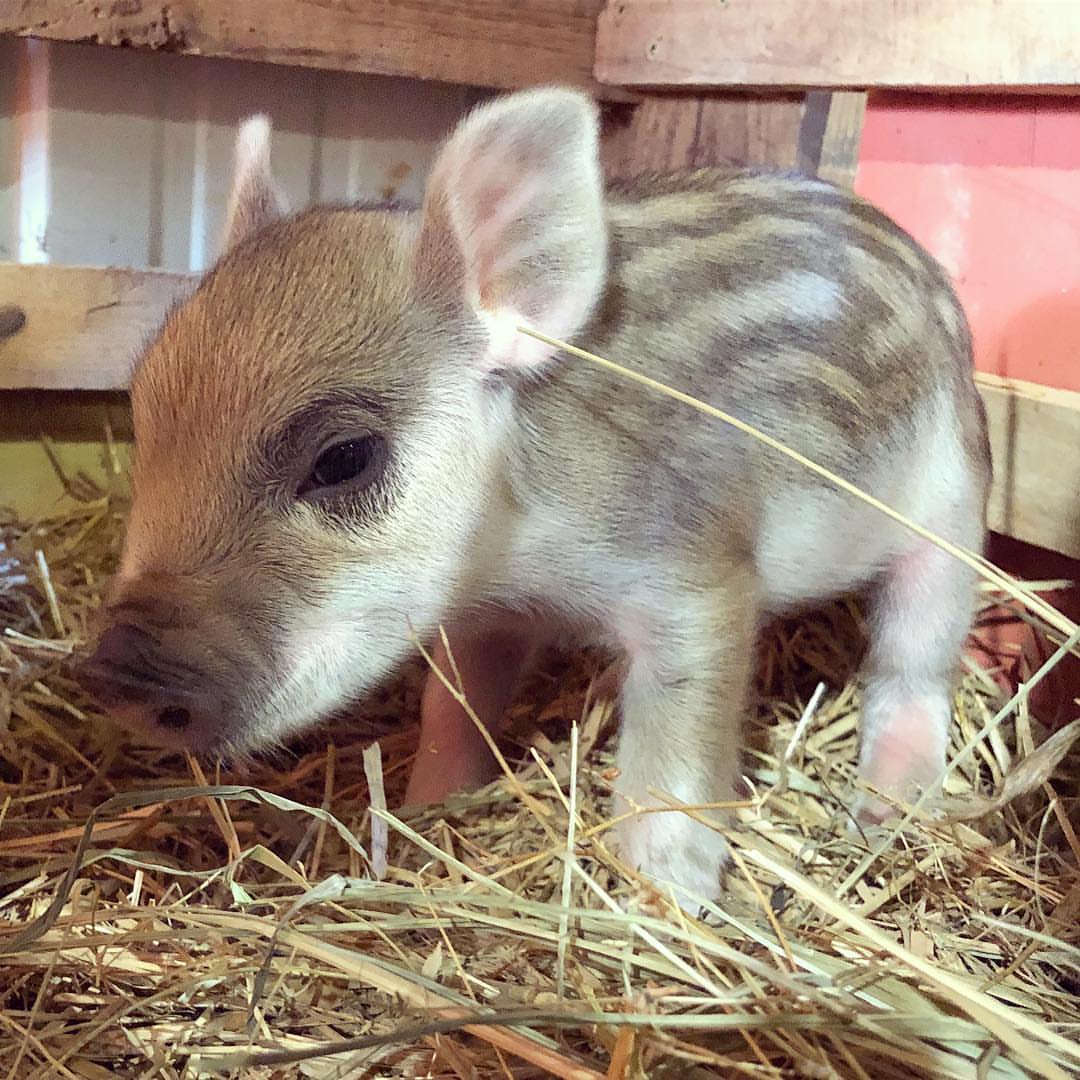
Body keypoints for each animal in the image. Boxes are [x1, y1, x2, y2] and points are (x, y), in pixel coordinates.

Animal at [77, 87, 991, 905]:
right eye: (144, 418)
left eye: (344, 458)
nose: (117, 673)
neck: (518, 555)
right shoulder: (481, 614)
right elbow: (453, 711)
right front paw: (425, 811)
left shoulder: (700, 572)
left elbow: (675, 752)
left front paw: (664, 905)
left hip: (954, 513)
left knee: (917, 658)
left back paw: (886, 811)